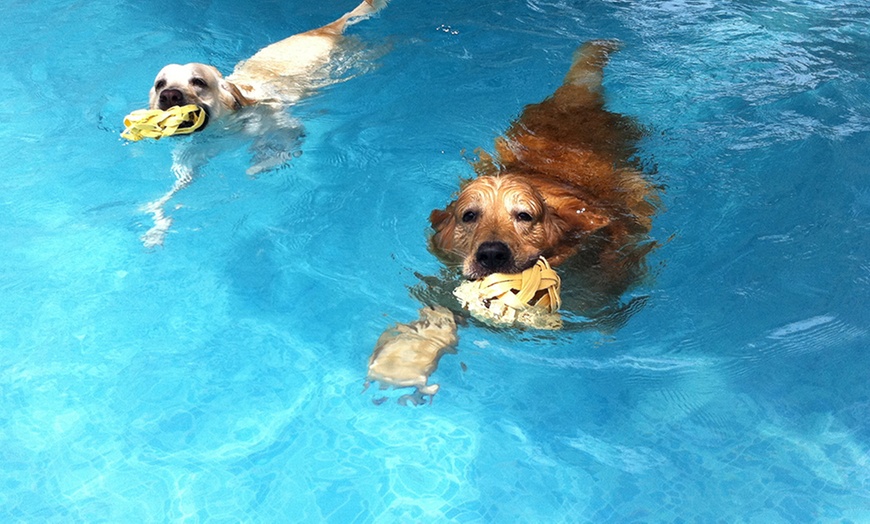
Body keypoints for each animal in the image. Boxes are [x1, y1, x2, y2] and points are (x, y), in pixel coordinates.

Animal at [137, 0, 388, 249]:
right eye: (160, 84)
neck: (222, 129)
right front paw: (157, 227)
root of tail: (323, 30)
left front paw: (263, 161)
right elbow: (170, 195)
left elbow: (276, 142)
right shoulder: (191, 160)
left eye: (198, 82)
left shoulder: (280, 122)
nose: (169, 95)